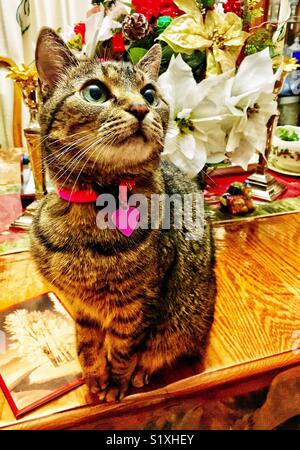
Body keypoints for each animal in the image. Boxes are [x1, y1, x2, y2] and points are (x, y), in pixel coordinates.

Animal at [31, 27, 216, 400]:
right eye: (95, 92)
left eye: (150, 93)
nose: (141, 107)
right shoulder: (80, 306)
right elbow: (87, 345)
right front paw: (94, 380)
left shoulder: (137, 305)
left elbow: (123, 350)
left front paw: (116, 385)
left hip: (188, 318)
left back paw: (143, 374)